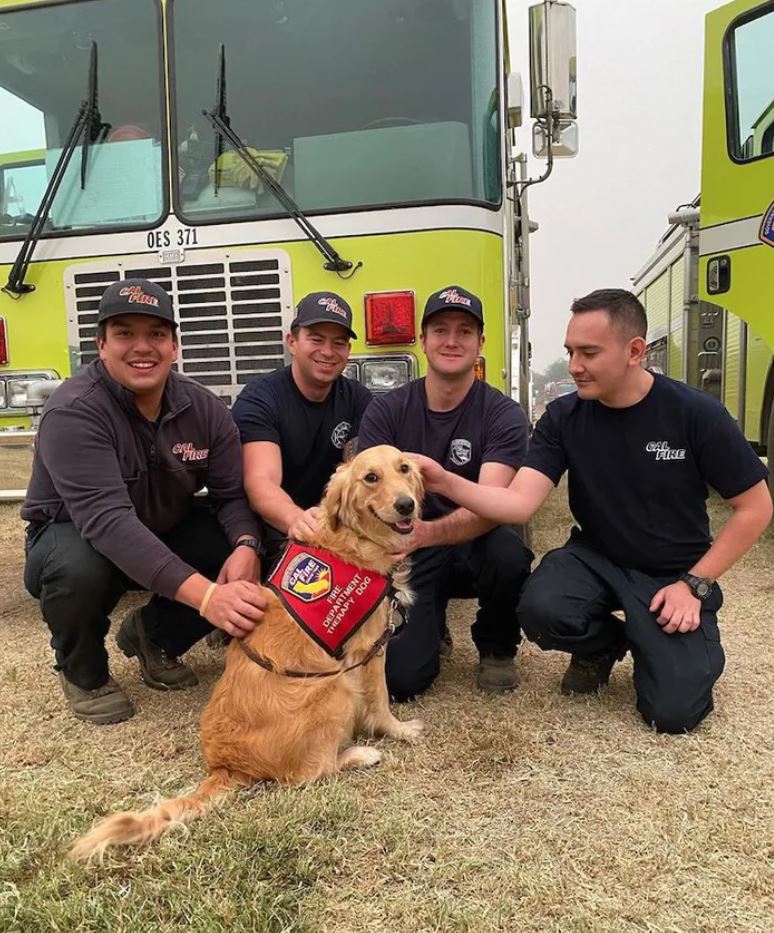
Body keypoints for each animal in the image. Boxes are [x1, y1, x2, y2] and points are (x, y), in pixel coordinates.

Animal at [69, 444, 424, 860]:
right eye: (371, 477)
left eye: (404, 468)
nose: (406, 505)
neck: (353, 538)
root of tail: (226, 765)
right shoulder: (369, 648)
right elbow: (380, 701)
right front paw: (399, 731)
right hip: (333, 688)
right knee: (308, 773)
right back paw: (358, 755)